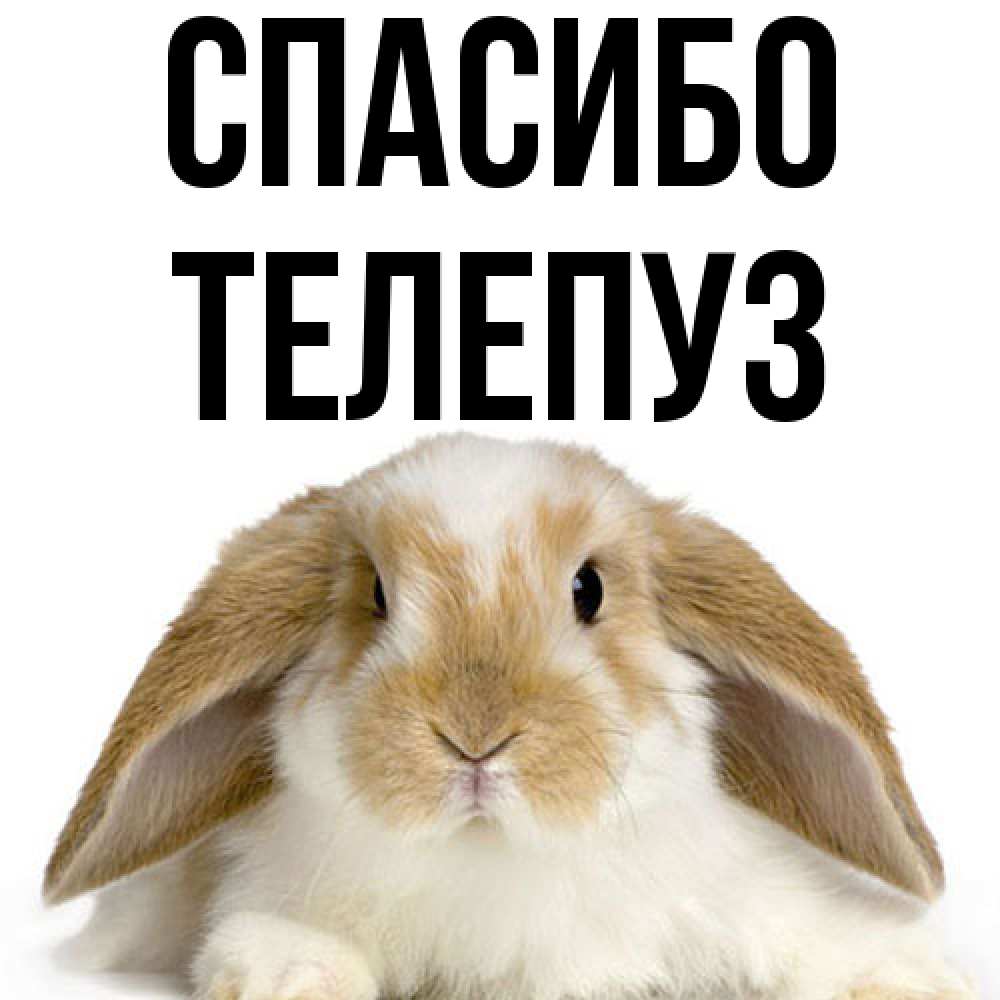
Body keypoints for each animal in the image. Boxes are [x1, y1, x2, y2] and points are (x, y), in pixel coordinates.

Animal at [45, 434, 975, 1000]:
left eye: (589, 589)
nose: (475, 737)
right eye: (376, 595)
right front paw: (292, 976)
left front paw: (911, 977)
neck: (495, 857)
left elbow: (816, 938)